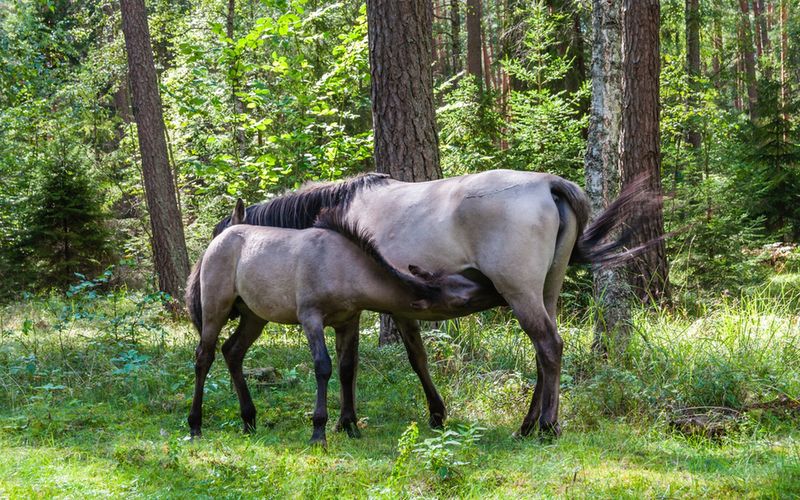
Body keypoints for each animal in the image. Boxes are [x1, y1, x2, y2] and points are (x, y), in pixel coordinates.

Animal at [212, 170, 644, 436]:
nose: (230, 304)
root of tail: (547, 184)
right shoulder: (399, 309)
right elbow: (409, 358)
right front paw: (434, 412)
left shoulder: (373, 310)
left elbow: (377, 362)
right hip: (545, 294)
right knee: (545, 353)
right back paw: (527, 424)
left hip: (520, 294)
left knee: (549, 347)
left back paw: (547, 426)